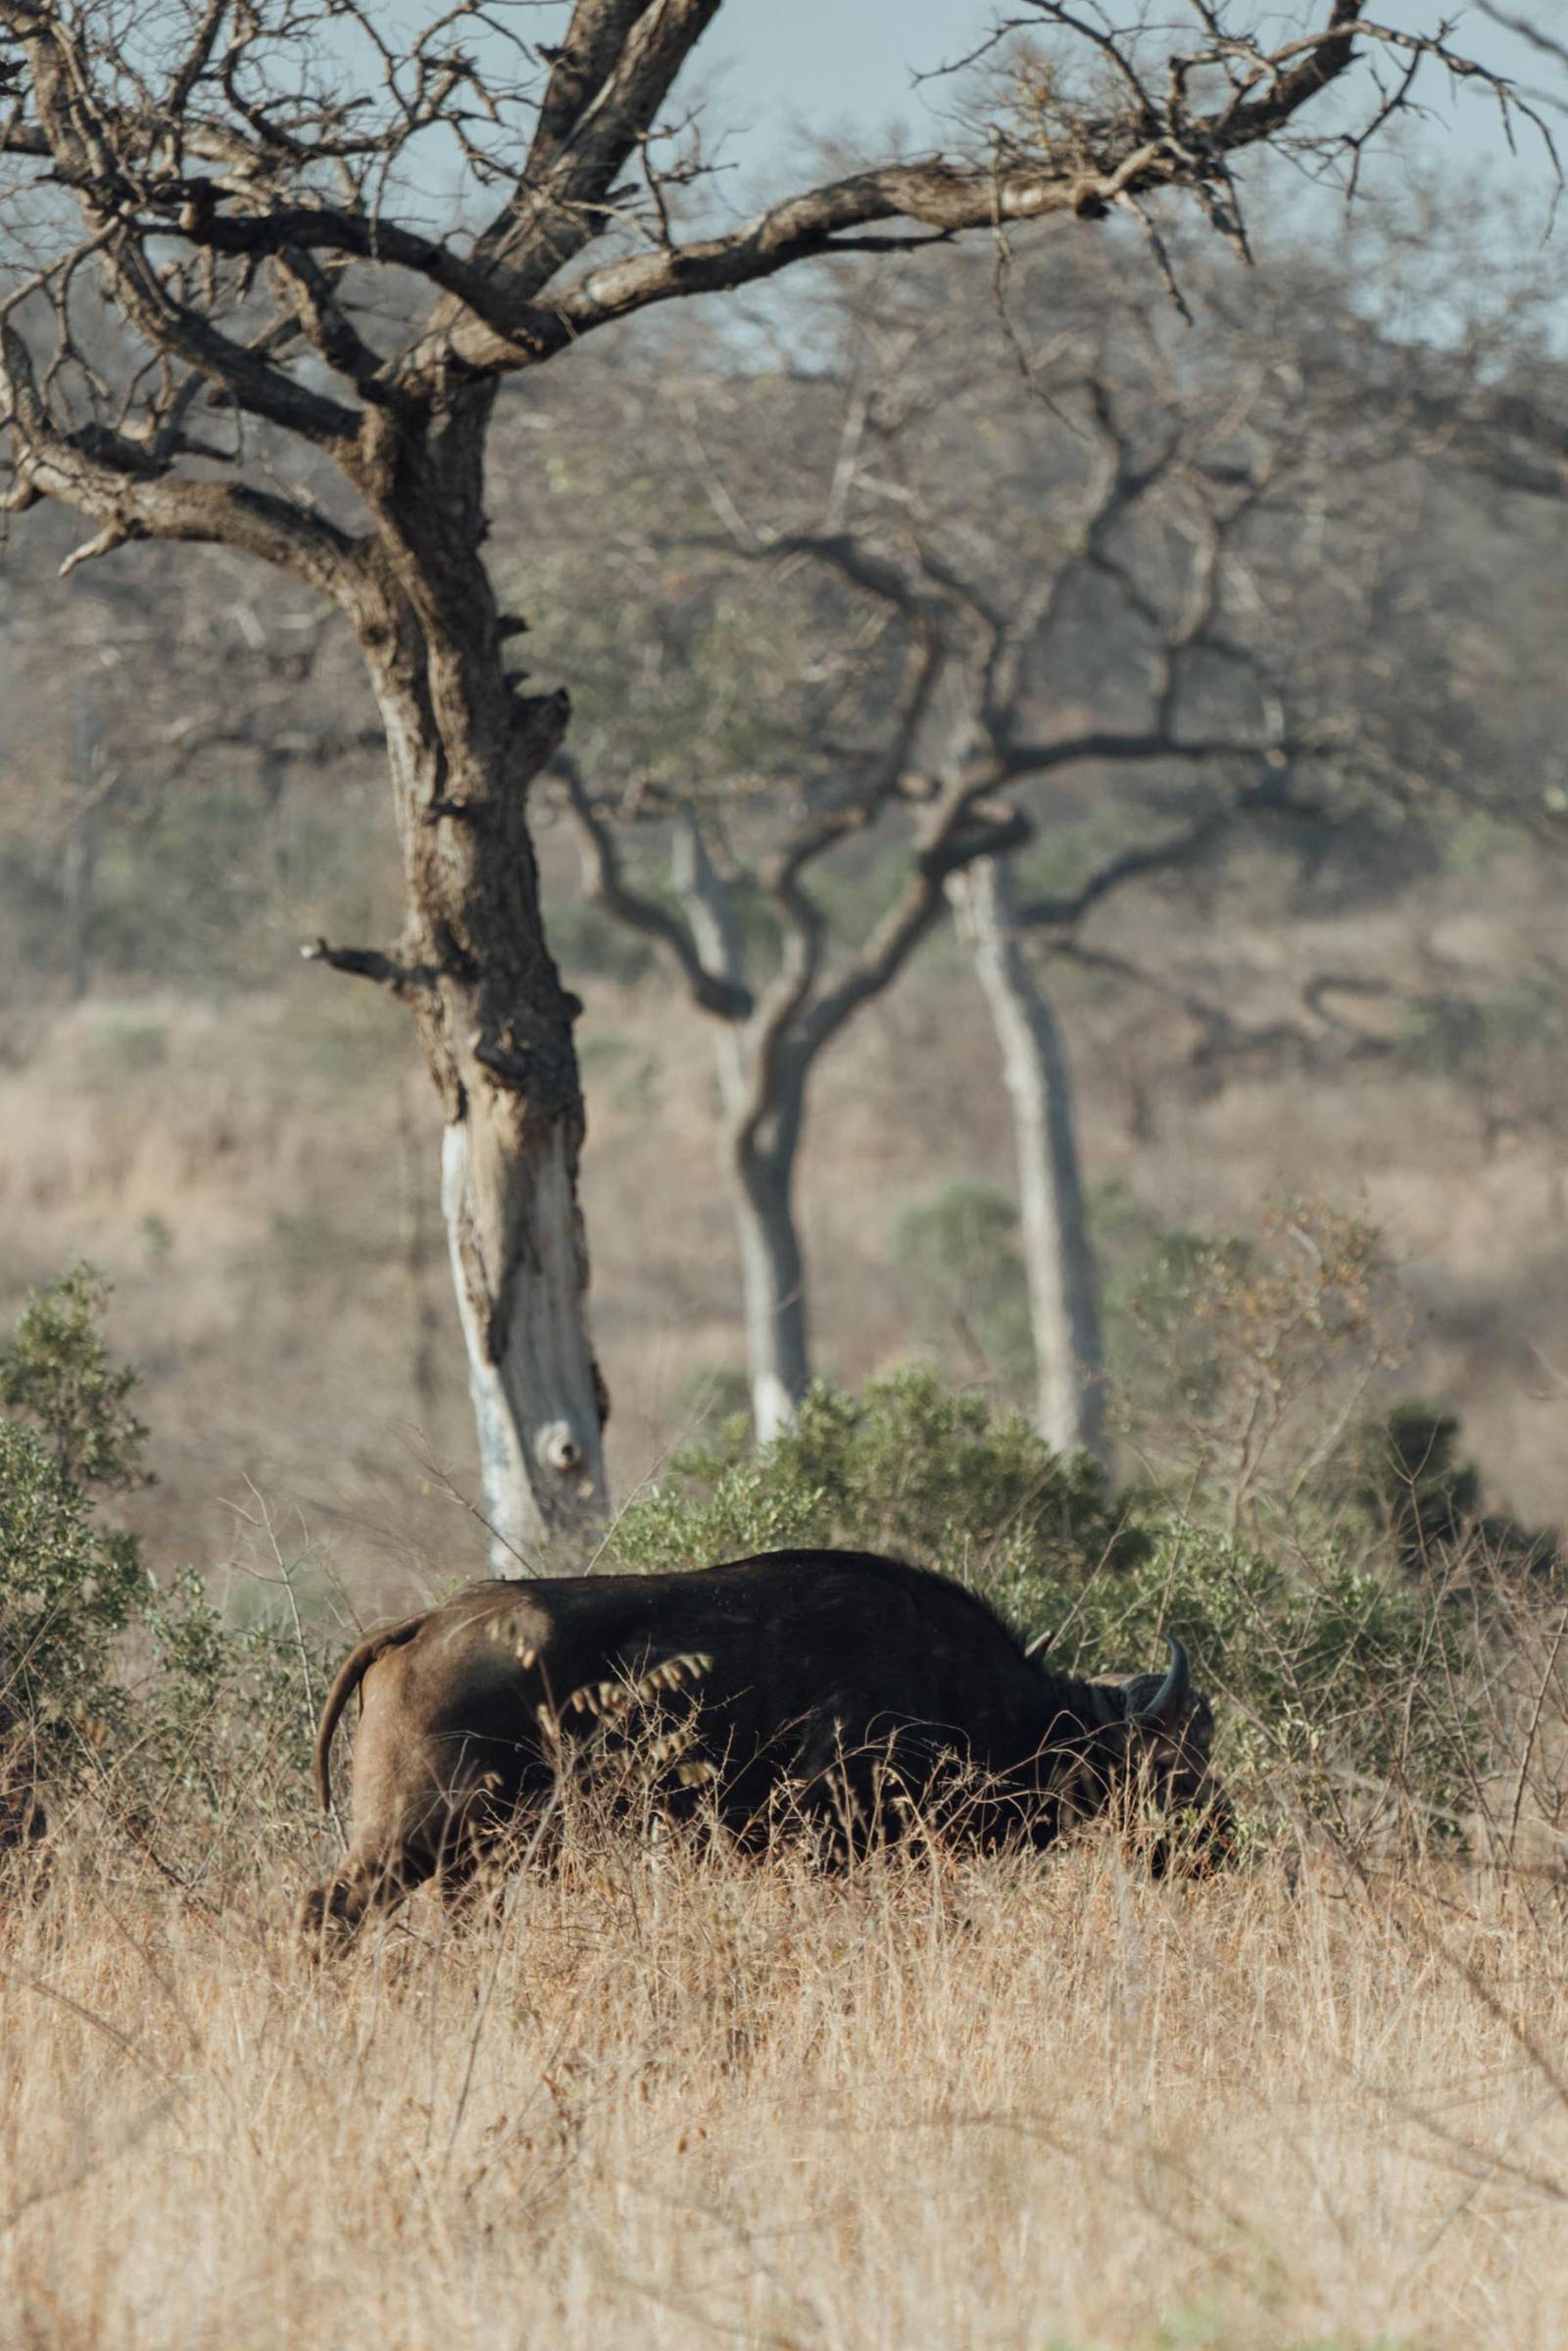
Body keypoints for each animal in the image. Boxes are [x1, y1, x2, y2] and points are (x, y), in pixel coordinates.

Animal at [291, 1542, 1222, 1946]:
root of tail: (422, 1624)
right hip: (410, 1836)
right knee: (325, 1908)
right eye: (1174, 1765)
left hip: (471, 1862)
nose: (1224, 1843)